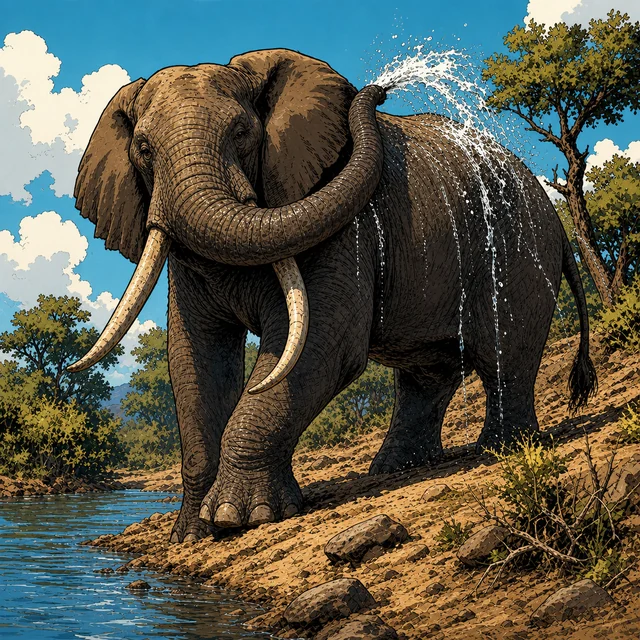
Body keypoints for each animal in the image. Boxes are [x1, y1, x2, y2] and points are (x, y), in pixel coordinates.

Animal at [69, 49, 596, 541]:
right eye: (143, 149)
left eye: (242, 132)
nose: (379, 91)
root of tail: (556, 219)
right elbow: (194, 357)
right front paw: (194, 533)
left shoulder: (345, 232)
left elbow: (323, 344)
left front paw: (239, 519)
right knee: (428, 372)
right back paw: (397, 469)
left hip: (516, 249)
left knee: (505, 354)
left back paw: (501, 450)